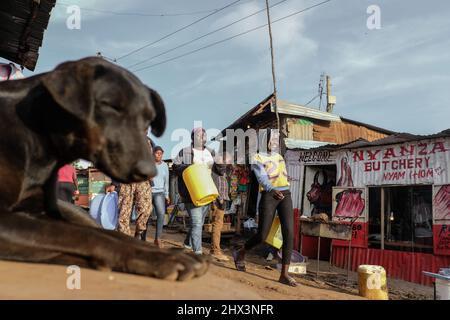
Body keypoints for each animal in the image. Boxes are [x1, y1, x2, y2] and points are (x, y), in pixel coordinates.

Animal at [0, 57, 209, 280]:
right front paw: (158, 259)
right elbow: (82, 235)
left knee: (107, 230)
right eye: (110, 106)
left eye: (148, 120)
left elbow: (102, 234)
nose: (149, 171)